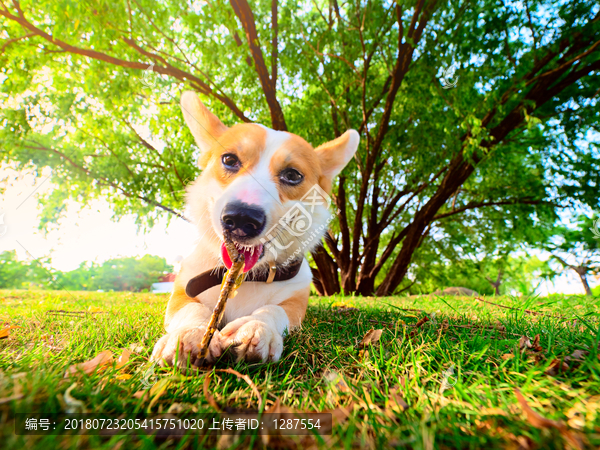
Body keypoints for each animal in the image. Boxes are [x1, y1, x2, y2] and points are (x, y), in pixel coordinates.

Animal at [152, 91, 358, 366]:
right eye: (229, 160)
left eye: (293, 175)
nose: (240, 219)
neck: (247, 276)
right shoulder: (181, 293)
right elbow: (193, 308)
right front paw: (190, 333)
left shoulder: (295, 302)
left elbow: (275, 309)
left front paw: (256, 326)